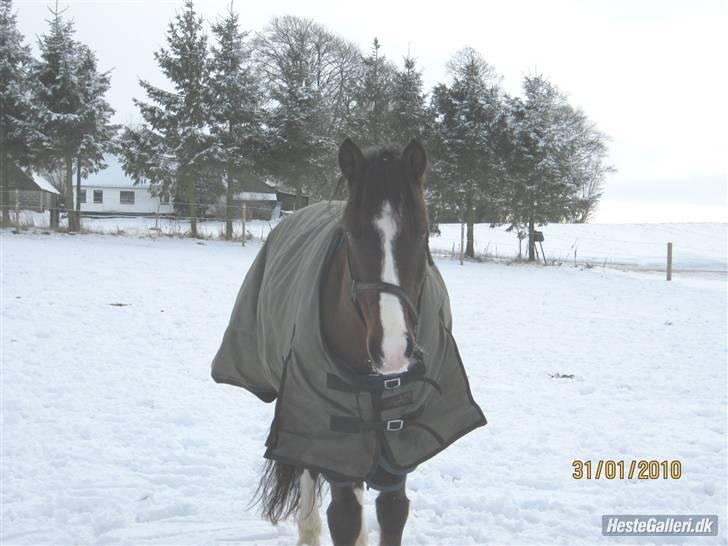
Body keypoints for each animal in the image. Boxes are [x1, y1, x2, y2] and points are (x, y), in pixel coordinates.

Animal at [213, 137, 486, 544]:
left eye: (423, 233)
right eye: (352, 233)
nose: (393, 352)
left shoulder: (396, 453)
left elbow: (390, 512)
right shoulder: (328, 433)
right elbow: (342, 515)